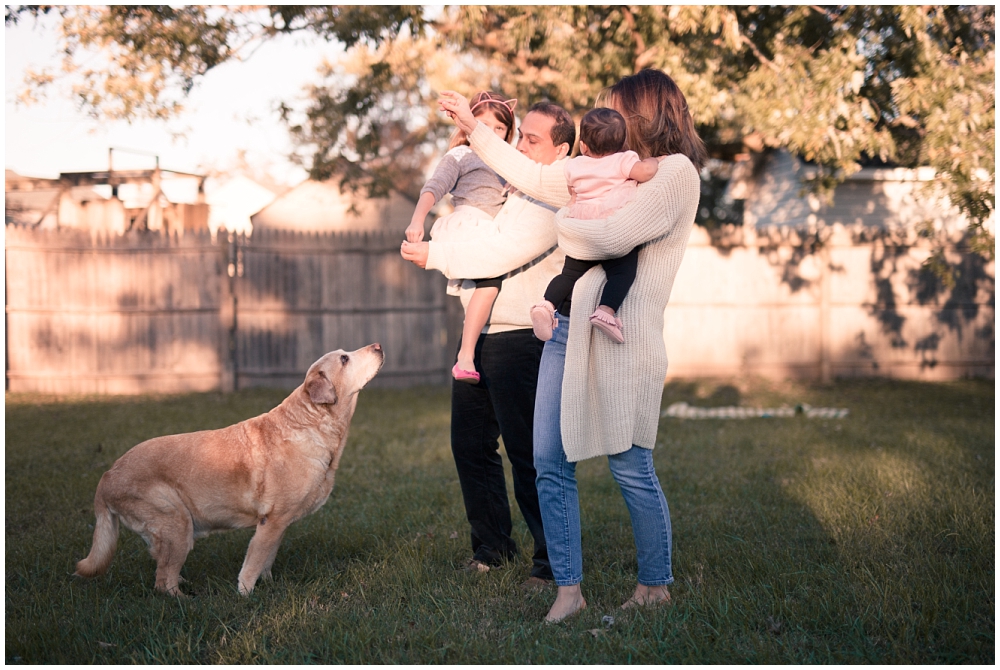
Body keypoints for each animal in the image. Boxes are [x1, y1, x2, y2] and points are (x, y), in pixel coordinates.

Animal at [74, 344, 382, 596]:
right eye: (344, 359)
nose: (378, 346)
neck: (313, 422)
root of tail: (106, 477)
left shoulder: (278, 524)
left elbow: (267, 560)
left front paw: (269, 584)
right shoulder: (272, 521)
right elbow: (254, 563)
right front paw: (245, 594)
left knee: (162, 565)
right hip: (176, 520)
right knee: (163, 581)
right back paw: (186, 600)